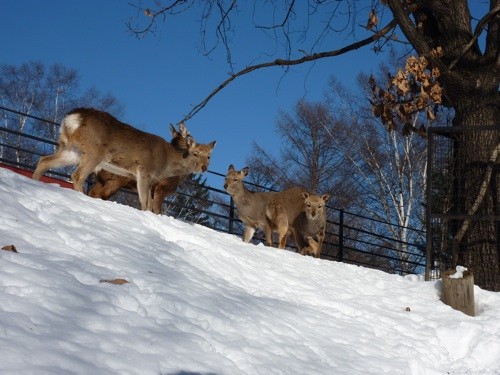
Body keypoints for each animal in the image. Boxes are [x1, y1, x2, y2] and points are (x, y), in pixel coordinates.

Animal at [32, 108, 217, 212]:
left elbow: (148, 204)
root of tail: (72, 118)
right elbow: (146, 204)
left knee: (44, 160)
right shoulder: (145, 172)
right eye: (195, 153)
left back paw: (35, 182)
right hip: (94, 151)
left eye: (209, 156)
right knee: (77, 176)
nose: (204, 167)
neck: (166, 164)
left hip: (72, 150)